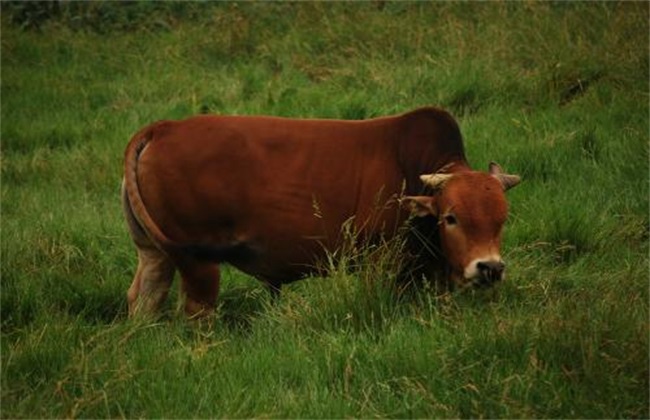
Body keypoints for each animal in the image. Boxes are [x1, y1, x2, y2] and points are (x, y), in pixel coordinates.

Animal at [120, 106, 516, 316]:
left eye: (502, 219)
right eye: (451, 217)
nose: (490, 268)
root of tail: (163, 128)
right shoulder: (379, 263)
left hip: (155, 253)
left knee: (145, 298)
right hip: (198, 264)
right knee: (196, 310)